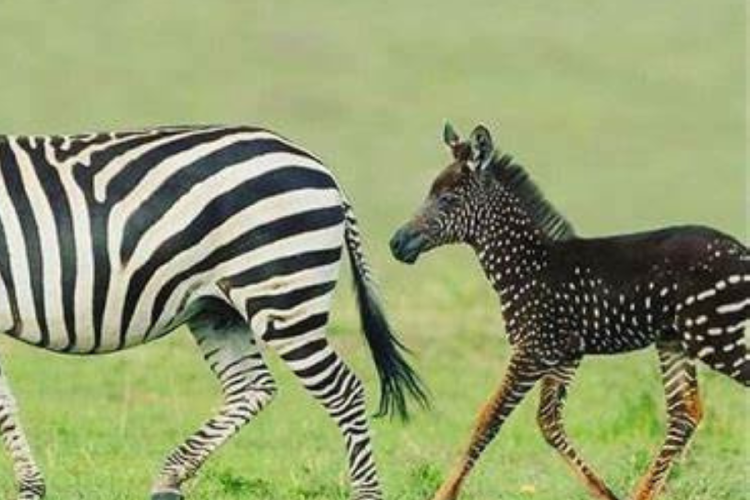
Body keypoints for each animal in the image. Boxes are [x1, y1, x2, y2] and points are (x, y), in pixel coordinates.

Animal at [0, 125, 427, 500]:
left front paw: (30, 488)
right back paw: (168, 480)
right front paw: (31, 488)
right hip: (218, 308)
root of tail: (317, 164)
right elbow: (6, 403)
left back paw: (366, 492)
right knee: (251, 386)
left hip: (281, 295)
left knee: (344, 390)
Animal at [390, 122, 748, 500]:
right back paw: (642, 493)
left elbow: (487, 420)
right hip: (675, 341)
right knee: (685, 412)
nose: (395, 244)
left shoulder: (532, 351)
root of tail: (741, 251)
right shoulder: (564, 355)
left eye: (448, 199)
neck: (527, 266)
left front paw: (444, 494)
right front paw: (606, 494)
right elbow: (548, 423)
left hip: (716, 338)